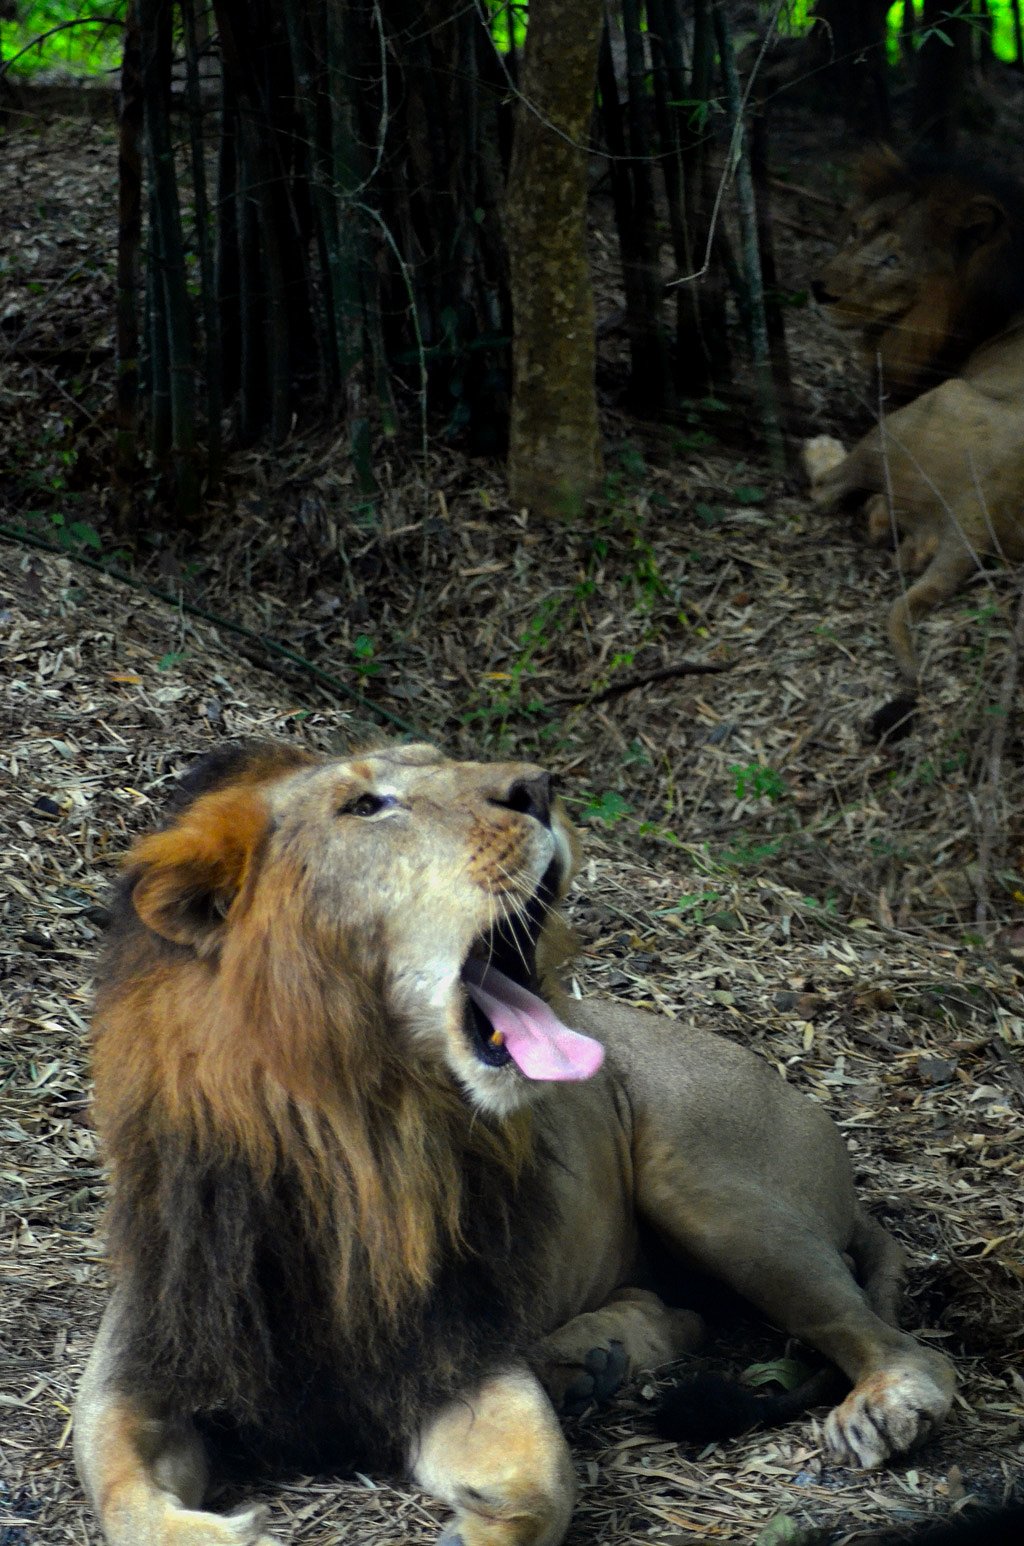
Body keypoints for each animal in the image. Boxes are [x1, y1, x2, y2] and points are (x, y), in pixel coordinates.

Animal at [75, 741, 955, 1546]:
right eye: (364, 806)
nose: (539, 785)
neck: (348, 1140)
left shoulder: (462, 1356)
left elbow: (541, 1488)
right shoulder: (139, 1364)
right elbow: (120, 1491)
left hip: (705, 1185)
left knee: (894, 1342)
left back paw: (876, 1405)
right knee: (680, 1314)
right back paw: (593, 1358)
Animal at [805, 149, 1024, 699]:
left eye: (892, 261)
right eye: (854, 231)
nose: (818, 290)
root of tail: (979, 510)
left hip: (928, 407)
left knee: (826, 489)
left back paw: (820, 449)